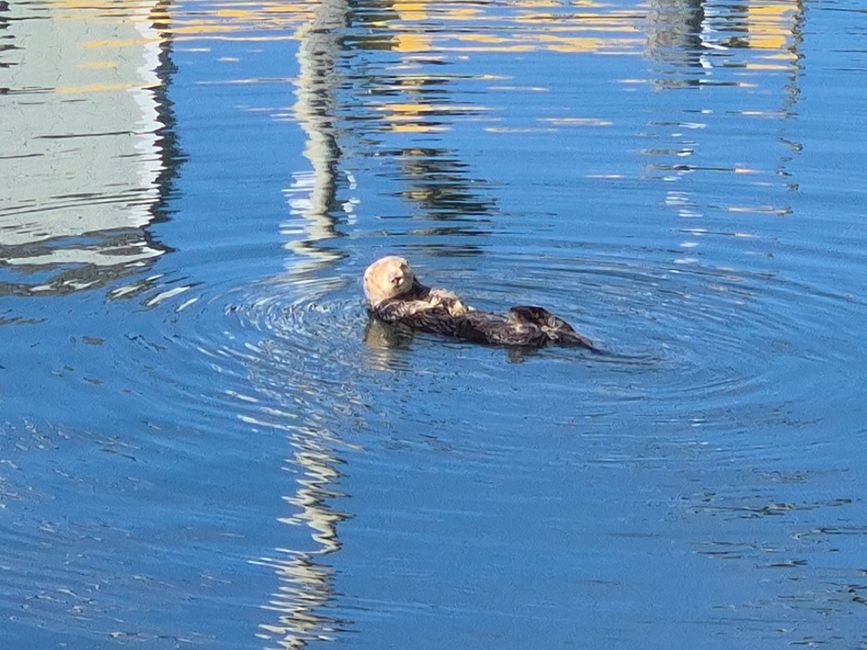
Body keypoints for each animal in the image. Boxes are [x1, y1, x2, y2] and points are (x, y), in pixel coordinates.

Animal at [362, 256, 595, 349]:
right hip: (510, 335)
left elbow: (437, 291)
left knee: (555, 322)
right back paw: (519, 314)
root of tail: (550, 333)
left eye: (402, 266)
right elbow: (403, 308)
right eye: (383, 274)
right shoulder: (385, 309)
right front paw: (433, 304)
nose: (397, 278)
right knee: (529, 333)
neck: (409, 294)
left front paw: (450, 302)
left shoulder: (422, 288)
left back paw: (529, 311)